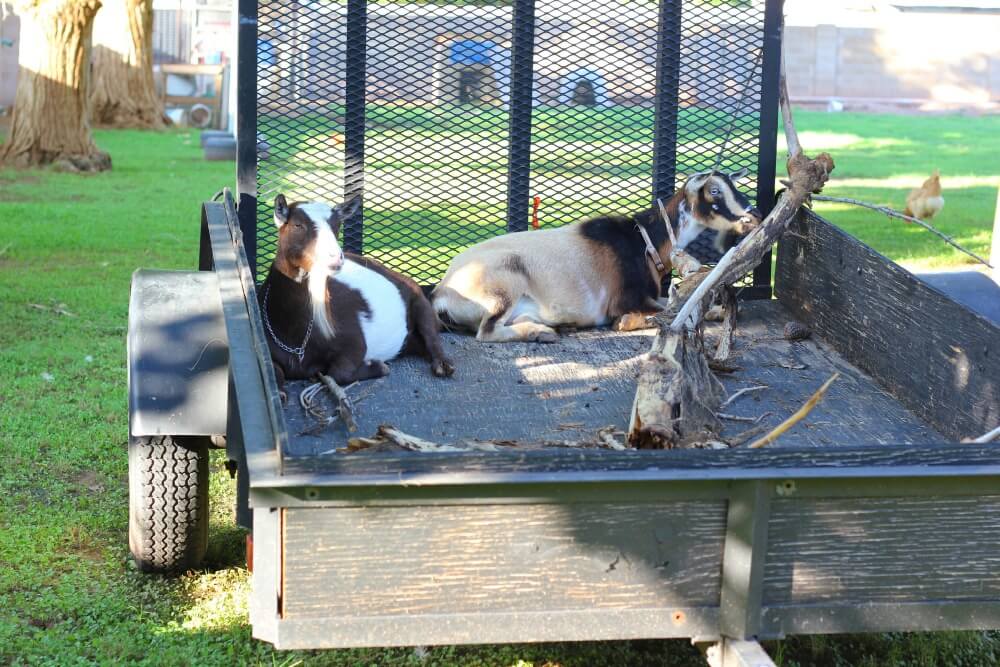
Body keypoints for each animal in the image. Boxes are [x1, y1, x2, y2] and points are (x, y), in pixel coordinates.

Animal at [258, 196, 454, 388]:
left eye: (337, 225)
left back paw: (443, 365)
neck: (296, 338)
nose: (335, 258)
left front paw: (378, 366)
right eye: (297, 225)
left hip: (418, 299)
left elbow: (339, 373)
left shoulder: (354, 340)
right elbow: (275, 373)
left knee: (430, 333)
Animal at [430, 167, 756, 344]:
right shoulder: (625, 300)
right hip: (503, 286)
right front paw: (627, 323)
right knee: (486, 331)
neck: (642, 241)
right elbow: (668, 313)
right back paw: (541, 332)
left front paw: (717, 311)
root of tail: (441, 292)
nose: (751, 217)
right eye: (714, 191)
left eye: (734, 186)